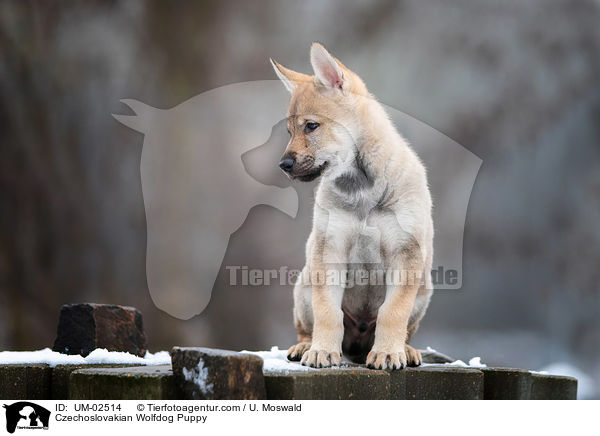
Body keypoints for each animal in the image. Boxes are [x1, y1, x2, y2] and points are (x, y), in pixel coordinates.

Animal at [270, 43, 432, 372]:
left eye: (311, 126)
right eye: (290, 132)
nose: (284, 165)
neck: (363, 191)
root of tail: (357, 344)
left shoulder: (406, 253)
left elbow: (392, 311)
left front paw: (388, 353)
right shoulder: (329, 249)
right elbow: (328, 312)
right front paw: (321, 351)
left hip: (423, 292)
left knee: (405, 328)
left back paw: (406, 350)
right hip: (303, 286)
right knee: (307, 326)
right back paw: (305, 345)